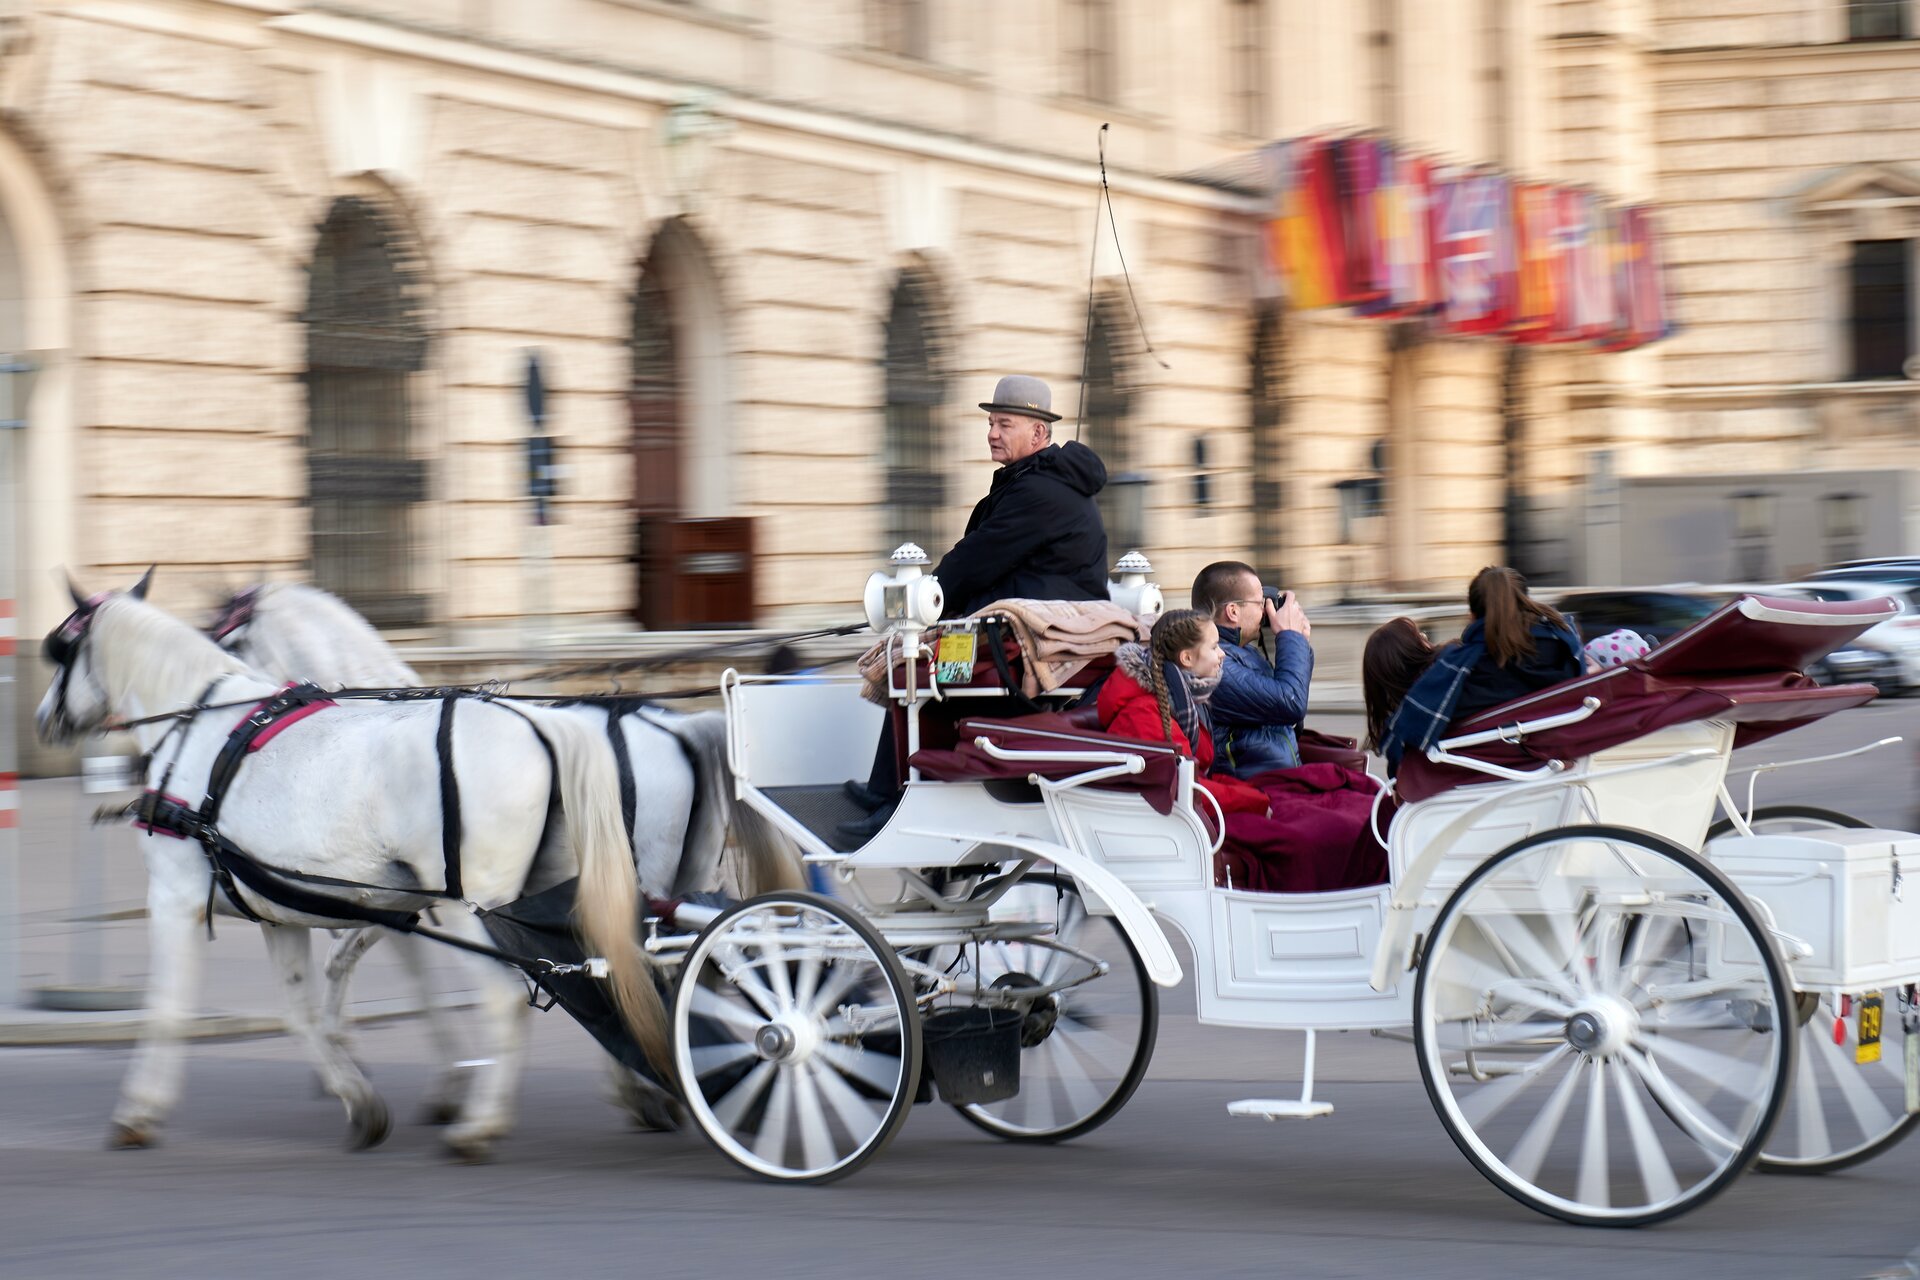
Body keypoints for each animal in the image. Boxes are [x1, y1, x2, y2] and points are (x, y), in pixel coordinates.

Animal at [39, 571, 668, 1159]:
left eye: (62, 649)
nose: (45, 718)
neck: (200, 729)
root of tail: (544, 725)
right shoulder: (285, 912)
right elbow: (303, 1010)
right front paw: (358, 1095)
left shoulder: (175, 898)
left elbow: (168, 1007)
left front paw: (138, 1111)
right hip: (551, 895)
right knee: (597, 971)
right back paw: (638, 1085)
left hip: (475, 909)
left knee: (509, 996)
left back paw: (481, 1127)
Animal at [208, 583, 802, 1128]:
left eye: (224, 638)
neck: (378, 741)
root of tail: (679, 725)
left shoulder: (403, 896)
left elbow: (368, 965)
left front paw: (401, 1074)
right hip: (679, 877)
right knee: (685, 967)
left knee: (642, 967)